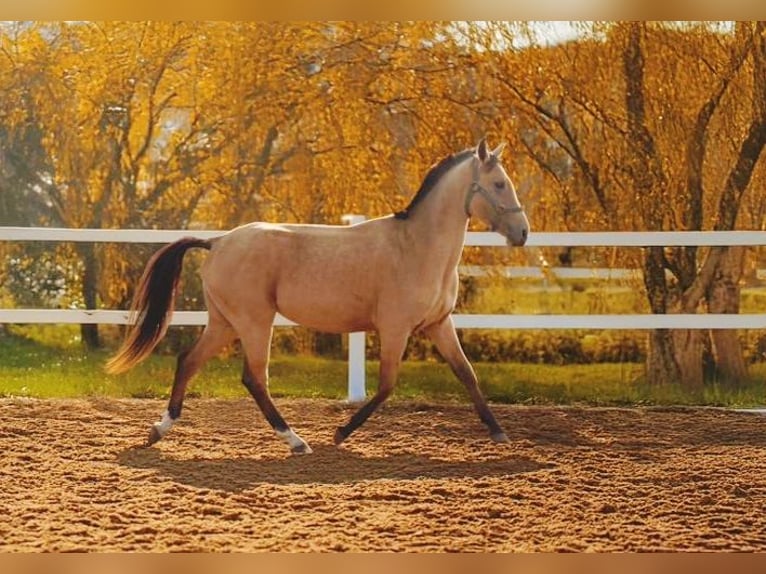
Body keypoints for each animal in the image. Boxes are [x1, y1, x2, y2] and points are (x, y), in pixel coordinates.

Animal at [106, 138, 528, 454]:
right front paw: (340, 433)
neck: (418, 248)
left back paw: (159, 430)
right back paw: (296, 441)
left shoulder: (439, 324)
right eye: (499, 184)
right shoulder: (395, 329)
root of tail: (219, 241)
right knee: (254, 378)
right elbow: (387, 385)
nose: (523, 232)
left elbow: (467, 374)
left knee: (189, 361)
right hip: (254, 322)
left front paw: (499, 431)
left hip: (224, 322)